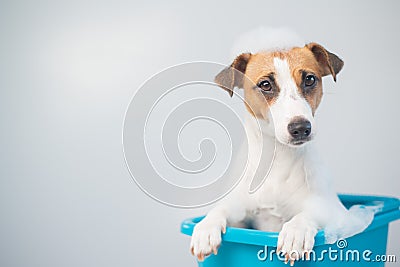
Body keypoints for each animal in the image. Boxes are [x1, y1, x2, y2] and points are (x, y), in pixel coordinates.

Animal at [189, 29, 374, 266]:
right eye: (265, 85)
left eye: (310, 79)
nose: (301, 128)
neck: (279, 160)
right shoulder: (242, 214)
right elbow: (221, 208)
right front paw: (205, 227)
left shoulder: (335, 212)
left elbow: (309, 213)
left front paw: (296, 231)